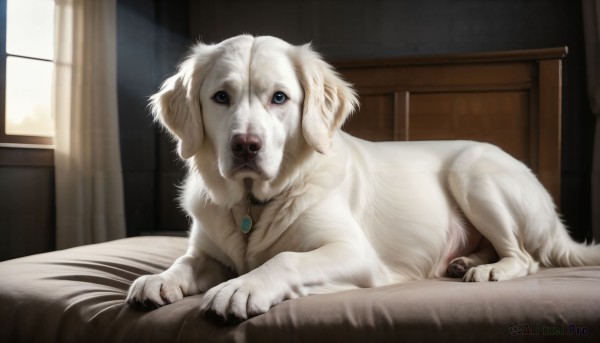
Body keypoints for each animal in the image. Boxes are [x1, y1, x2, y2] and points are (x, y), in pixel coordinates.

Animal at [125, 33, 596, 322]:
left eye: (279, 98)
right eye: (221, 97)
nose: (245, 146)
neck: (253, 204)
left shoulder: (354, 252)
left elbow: (285, 258)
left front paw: (242, 288)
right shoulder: (209, 252)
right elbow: (185, 261)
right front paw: (159, 279)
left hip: (473, 171)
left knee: (526, 256)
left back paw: (490, 270)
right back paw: (467, 261)